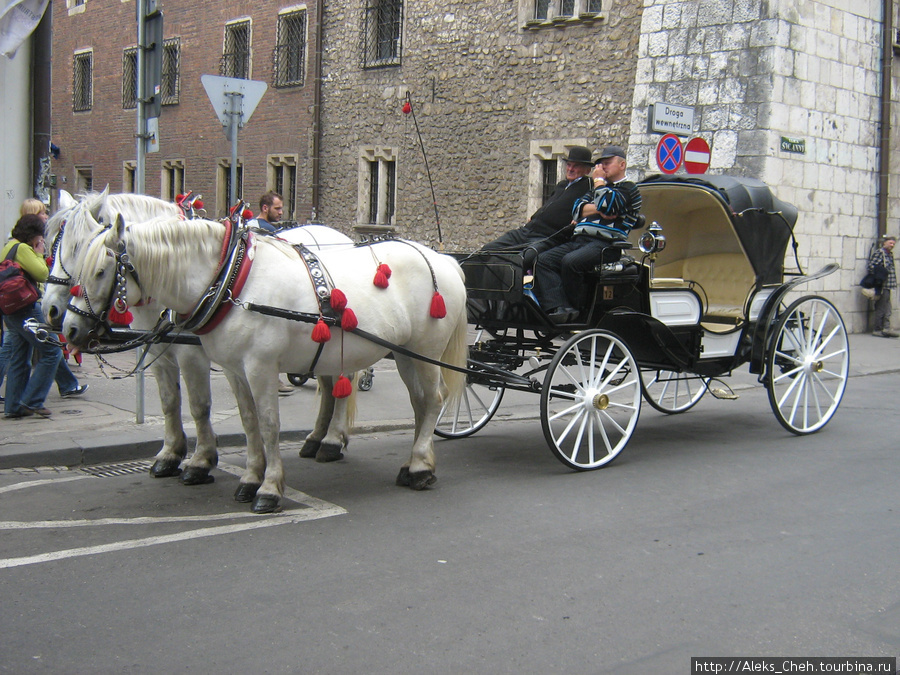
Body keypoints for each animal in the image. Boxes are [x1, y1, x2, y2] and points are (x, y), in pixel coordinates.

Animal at [60, 214, 468, 510]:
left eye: (100, 271)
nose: (68, 329)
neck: (233, 282)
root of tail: (445, 260)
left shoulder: (260, 367)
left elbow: (268, 424)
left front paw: (269, 488)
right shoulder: (233, 369)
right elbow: (248, 422)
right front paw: (250, 477)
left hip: (426, 351)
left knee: (434, 399)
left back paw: (418, 466)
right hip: (403, 353)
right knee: (418, 403)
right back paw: (411, 461)